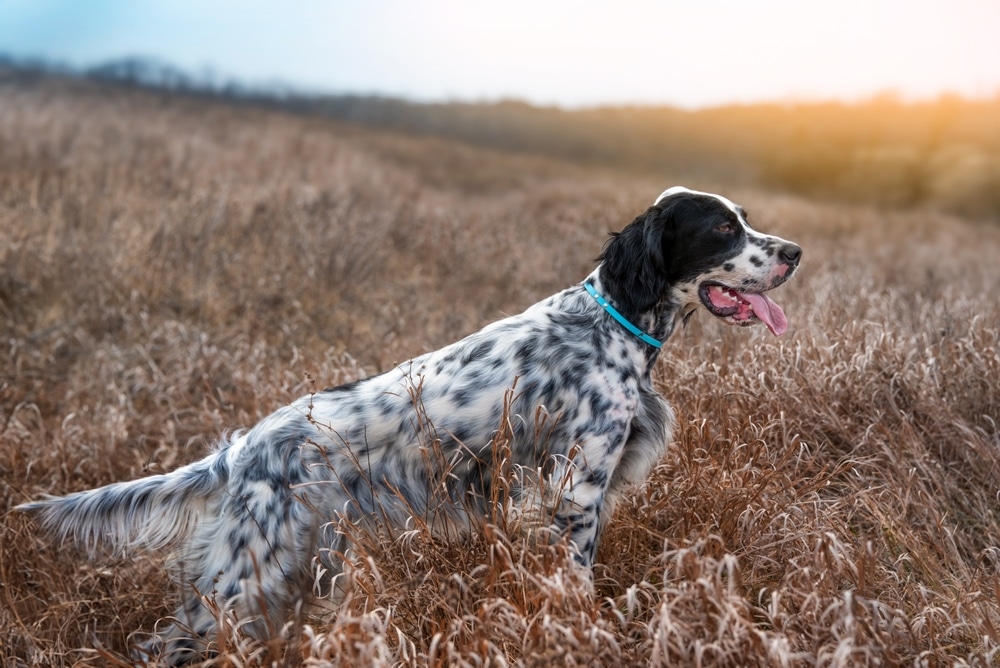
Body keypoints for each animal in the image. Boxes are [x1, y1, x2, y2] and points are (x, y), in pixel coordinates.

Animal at [17, 185, 804, 660]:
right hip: (250, 569)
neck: (613, 322)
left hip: (297, 567)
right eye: (723, 228)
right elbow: (578, 584)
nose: (795, 252)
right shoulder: (576, 493)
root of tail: (243, 448)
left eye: (743, 219)